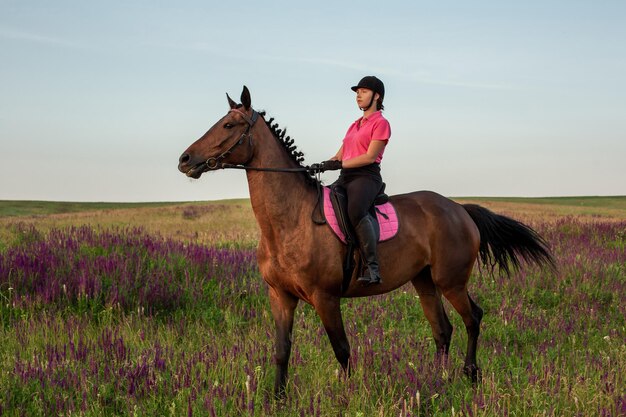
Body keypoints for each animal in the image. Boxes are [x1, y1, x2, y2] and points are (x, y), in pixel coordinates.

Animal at [176, 85, 552, 396]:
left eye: (228, 125)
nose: (185, 160)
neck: (289, 220)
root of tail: (459, 208)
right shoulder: (280, 296)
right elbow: (282, 350)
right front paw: (277, 398)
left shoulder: (325, 298)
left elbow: (342, 349)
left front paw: (348, 395)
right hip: (424, 280)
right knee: (442, 330)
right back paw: (436, 380)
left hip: (451, 281)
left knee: (472, 318)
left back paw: (470, 374)